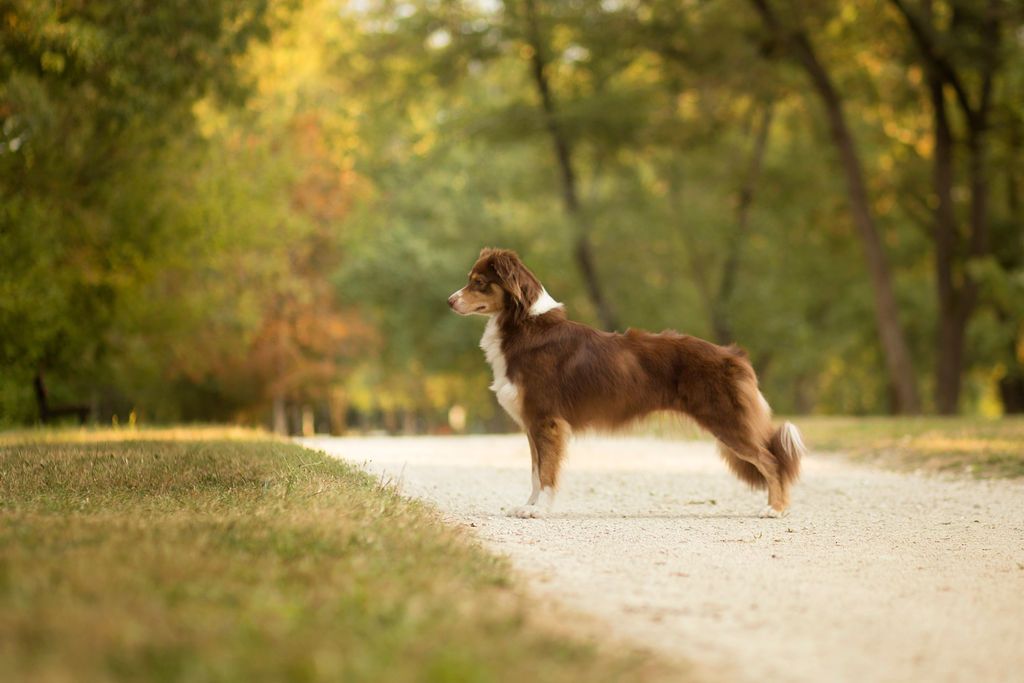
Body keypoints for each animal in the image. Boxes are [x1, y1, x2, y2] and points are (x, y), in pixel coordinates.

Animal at [450, 248, 806, 520]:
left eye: (478, 283)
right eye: (469, 280)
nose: (450, 301)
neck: (524, 324)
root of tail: (735, 356)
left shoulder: (546, 420)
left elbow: (547, 472)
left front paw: (538, 511)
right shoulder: (532, 423)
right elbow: (536, 473)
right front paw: (528, 506)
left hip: (727, 421)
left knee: (772, 461)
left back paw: (775, 509)